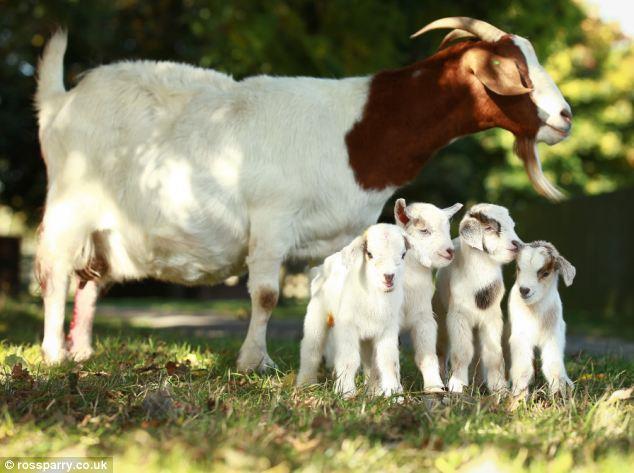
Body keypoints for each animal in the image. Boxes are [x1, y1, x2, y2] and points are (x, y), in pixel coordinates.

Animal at [298, 223, 410, 396]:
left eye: (403, 254)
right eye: (370, 254)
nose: (389, 277)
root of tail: (321, 268)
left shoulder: (388, 329)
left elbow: (388, 361)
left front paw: (394, 393)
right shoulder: (347, 327)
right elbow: (349, 359)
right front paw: (345, 392)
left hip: (367, 337)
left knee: (369, 360)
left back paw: (373, 390)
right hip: (316, 314)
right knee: (311, 348)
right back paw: (305, 384)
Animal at [432, 203, 520, 390]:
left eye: (512, 226)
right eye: (488, 228)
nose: (517, 244)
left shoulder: (492, 318)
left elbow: (493, 354)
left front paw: (499, 388)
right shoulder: (458, 317)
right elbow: (462, 351)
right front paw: (457, 385)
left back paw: (477, 383)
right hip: (441, 314)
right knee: (442, 349)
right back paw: (444, 380)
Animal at [506, 240, 576, 394]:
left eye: (545, 273)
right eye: (518, 268)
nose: (524, 290)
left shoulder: (553, 336)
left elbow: (553, 365)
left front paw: (559, 393)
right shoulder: (520, 337)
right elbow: (523, 368)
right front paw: (519, 394)